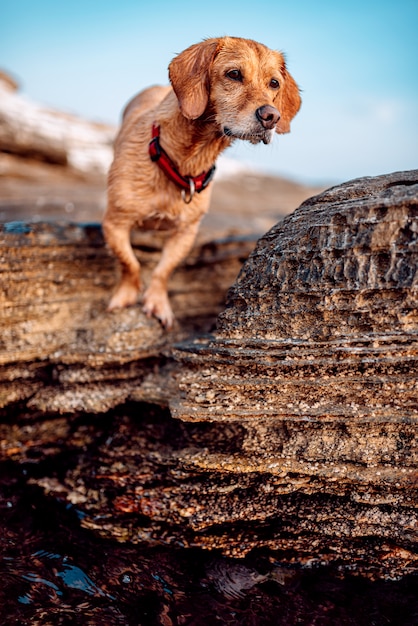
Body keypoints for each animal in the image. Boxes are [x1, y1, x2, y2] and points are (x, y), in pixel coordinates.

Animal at [103, 35, 302, 326]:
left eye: (274, 83)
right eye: (234, 74)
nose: (271, 117)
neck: (184, 159)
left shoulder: (186, 233)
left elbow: (164, 269)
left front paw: (157, 302)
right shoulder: (115, 223)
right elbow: (130, 262)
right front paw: (125, 296)